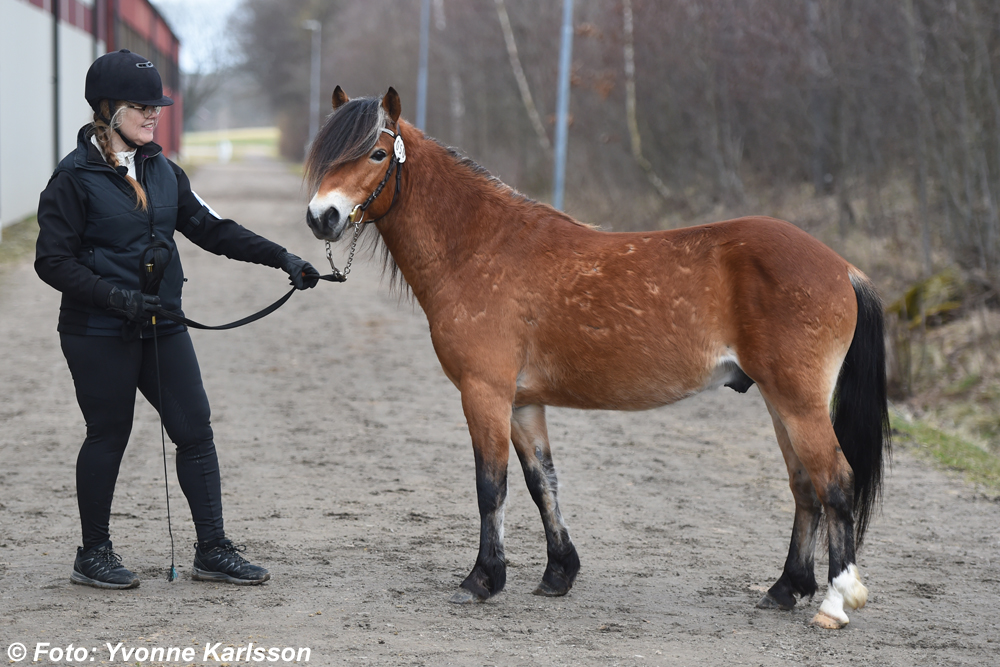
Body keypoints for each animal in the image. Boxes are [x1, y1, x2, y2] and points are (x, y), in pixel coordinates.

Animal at [304, 86, 892, 628]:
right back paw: (786, 589)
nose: (321, 217)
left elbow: (491, 486)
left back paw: (836, 603)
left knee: (835, 481)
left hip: (798, 403)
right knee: (805, 487)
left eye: (377, 153)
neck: (478, 247)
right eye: (325, 153)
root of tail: (843, 268)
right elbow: (543, 483)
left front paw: (482, 579)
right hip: (778, 402)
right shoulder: (521, 403)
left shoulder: (483, 392)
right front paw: (558, 573)